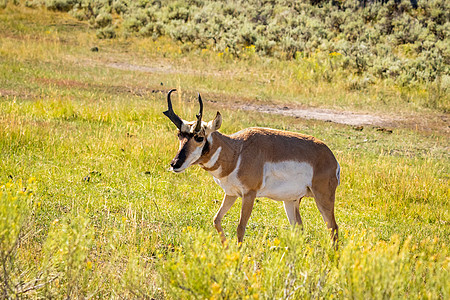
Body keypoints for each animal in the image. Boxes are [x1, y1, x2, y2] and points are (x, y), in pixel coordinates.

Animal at [163, 90, 340, 245]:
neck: (237, 151)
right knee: (299, 229)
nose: (175, 164)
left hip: (322, 198)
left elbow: (241, 227)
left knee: (333, 228)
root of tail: (331, 157)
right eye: (179, 134)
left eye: (199, 137)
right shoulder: (231, 194)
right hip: (291, 201)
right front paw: (226, 248)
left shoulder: (249, 194)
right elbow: (216, 220)